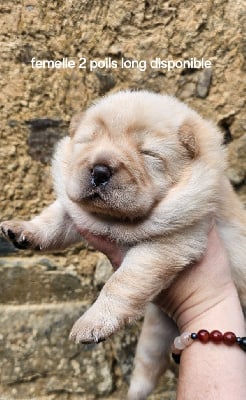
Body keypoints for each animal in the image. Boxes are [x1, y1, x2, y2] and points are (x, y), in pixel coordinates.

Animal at [0, 91, 245, 400]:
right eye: (88, 141)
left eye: (148, 153)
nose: (99, 170)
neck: (116, 220)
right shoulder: (77, 213)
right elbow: (55, 217)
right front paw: (23, 230)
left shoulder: (169, 242)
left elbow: (121, 282)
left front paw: (93, 323)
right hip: (154, 334)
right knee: (147, 367)